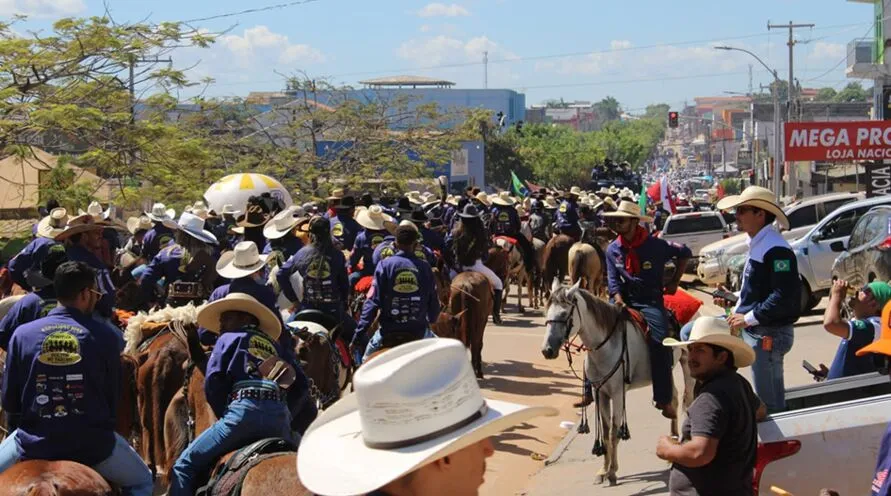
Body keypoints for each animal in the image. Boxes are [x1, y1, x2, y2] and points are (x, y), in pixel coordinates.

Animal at [536, 280, 696, 486]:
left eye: (564, 315)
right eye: (546, 313)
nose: (547, 350)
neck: (605, 346)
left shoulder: (618, 394)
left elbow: (614, 432)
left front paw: (612, 472)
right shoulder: (601, 393)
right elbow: (605, 432)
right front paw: (603, 470)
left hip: (688, 365)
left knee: (689, 400)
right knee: (673, 398)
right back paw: (673, 442)